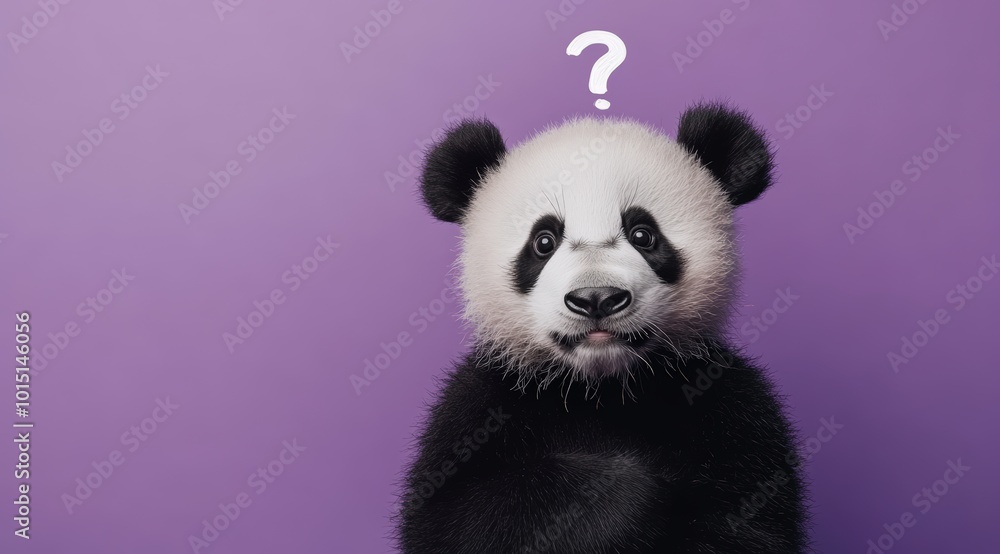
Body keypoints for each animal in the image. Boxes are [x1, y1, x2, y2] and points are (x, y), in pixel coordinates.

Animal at [396, 104, 808, 553]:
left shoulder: (733, 407)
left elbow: (751, 527)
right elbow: (455, 518)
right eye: (543, 241)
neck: (601, 388)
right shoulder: (478, 407)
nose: (596, 297)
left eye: (644, 234)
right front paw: (618, 487)